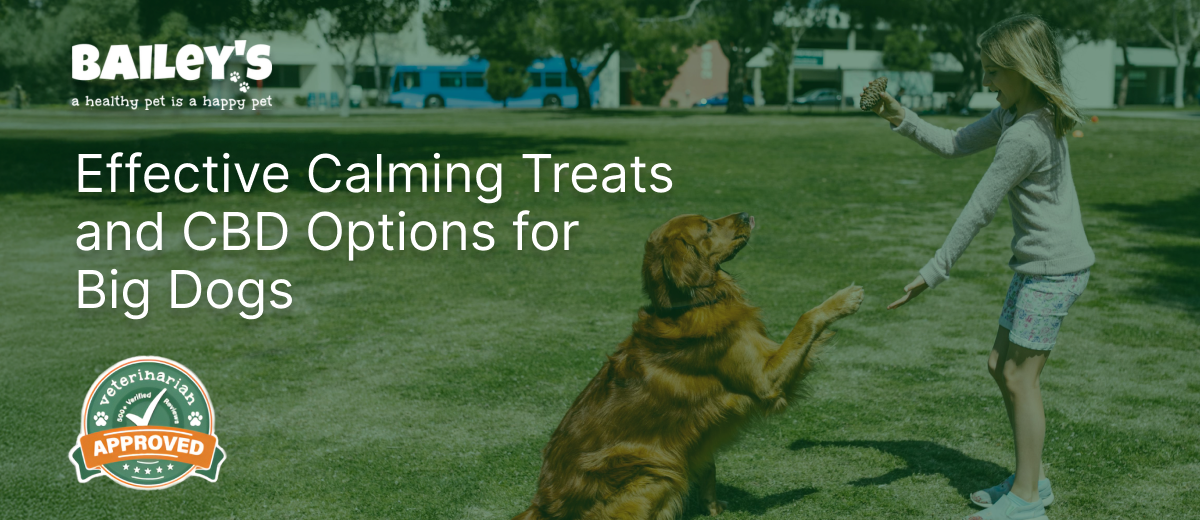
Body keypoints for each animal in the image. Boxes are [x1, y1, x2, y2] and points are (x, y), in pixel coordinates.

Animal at [508, 211, 864, 518]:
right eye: (707, 226)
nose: (746, 213)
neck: (692, 302)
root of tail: (541, 507)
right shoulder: (765, 380)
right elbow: (806, 319)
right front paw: (843, 300)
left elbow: (707, 465)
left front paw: (713, 507)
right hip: (652, 468)